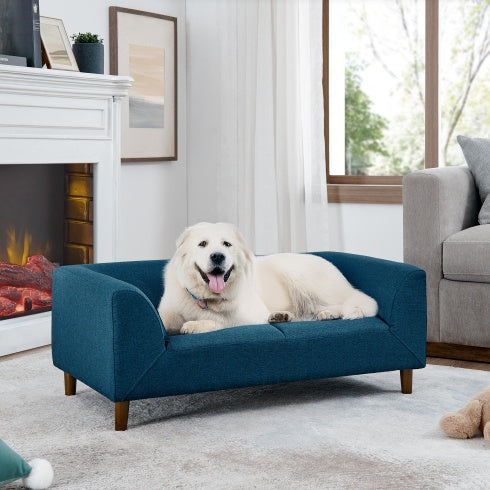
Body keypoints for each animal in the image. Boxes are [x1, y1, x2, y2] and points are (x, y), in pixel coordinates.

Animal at [159, 223, 378, 334]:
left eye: (227, 244)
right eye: (202, 244)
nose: (218, 256)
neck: (207, 298)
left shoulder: (249, 317)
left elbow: (223, 321)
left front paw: (193, 325)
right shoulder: (170, 308)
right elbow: (164, 317)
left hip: (301, 277)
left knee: (348, 302)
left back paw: (328, 313)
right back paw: (281, 316)